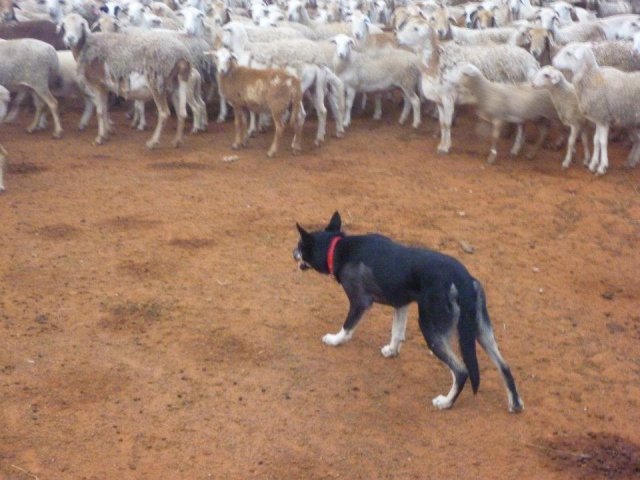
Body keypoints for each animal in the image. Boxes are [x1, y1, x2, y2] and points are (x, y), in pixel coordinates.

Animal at [292, 213, 524, 412]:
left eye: (299, 246)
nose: (292, 253)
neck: (338, 247)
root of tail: (463, 280)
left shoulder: (359, 302)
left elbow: (347, 327)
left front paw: (334, 339)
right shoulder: (401, 304)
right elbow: (397, 332)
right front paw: (392, 351)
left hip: (430, 328)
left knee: (461, 370)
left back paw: (446, 402)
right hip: (481, 331)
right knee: (504, 365)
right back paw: (515, 403)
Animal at [552, 42, 640, 174]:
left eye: (569, 53)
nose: (552, 61)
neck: (591, 78)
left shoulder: (603, 117)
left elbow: (603, 142)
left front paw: (602, 167)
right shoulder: (598, 118)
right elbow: (596, 140)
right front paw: (593, 164)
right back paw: (631, 161)